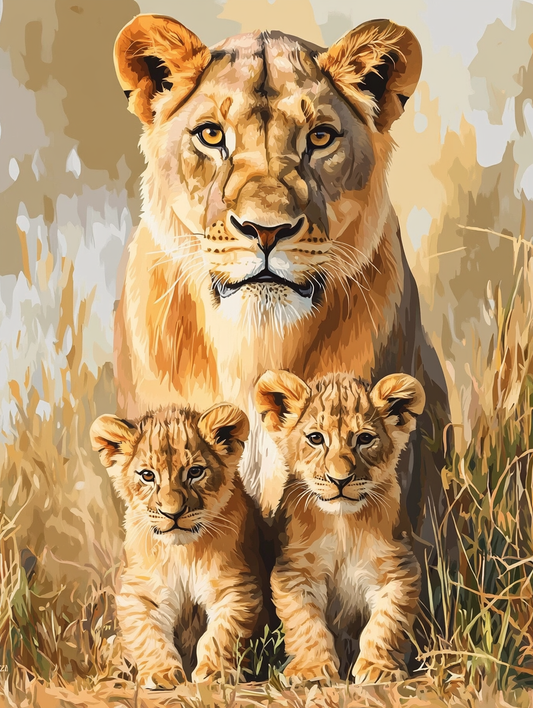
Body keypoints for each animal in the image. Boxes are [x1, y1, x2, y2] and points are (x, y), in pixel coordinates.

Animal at [90, 403, 264, 687]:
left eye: (195, 472)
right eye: (147, 475)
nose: (172, 513)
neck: (183, 552)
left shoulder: (236, 587)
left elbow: (222, 635)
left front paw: (215, 672)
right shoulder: (140, 592)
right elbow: (148, 634)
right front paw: (160, 673)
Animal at [254, 369, 423, 683]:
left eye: (365, 439)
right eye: (316, 438)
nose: (340, 479)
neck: (343, 524)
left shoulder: (398, 569)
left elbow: (386, 622)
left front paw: (379, 668)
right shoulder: (294, 571)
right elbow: (305, 622)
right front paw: (310, 670)